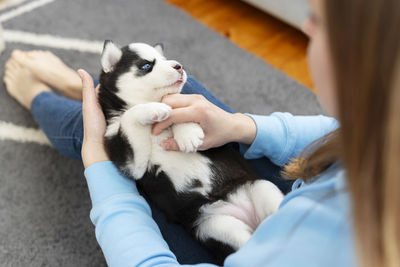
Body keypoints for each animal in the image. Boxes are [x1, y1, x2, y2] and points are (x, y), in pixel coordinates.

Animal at [98, 40, 282, 262]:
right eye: (146, 65)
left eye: (165, 59)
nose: (179, 66)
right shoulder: (130, 162)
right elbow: (130, 116)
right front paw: (155, 109)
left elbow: (180, 109)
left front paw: (187, 133)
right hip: (215, 226)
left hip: (260, 187)